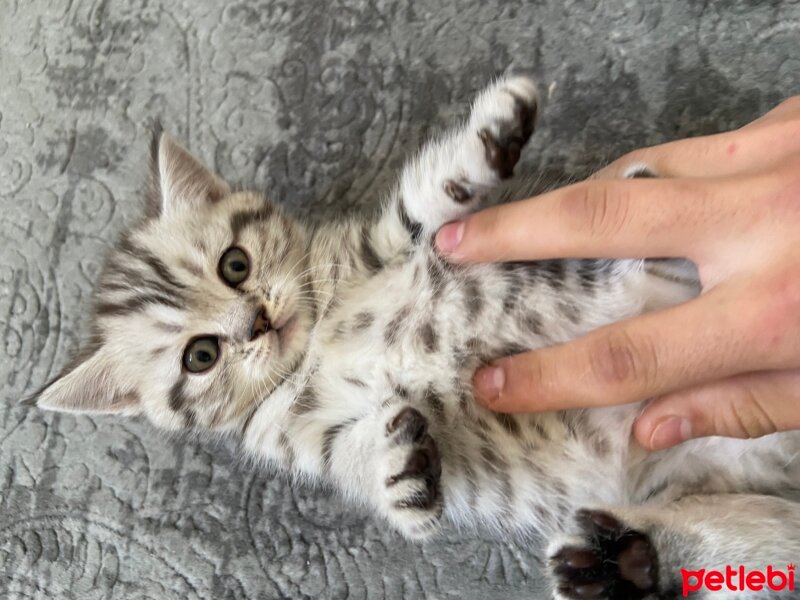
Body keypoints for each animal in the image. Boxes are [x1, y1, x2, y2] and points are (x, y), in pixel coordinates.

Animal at [34, 79, 796, 600]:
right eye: (201, 356)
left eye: (235, 265)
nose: (257, 323)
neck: (316, 339)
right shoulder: (302, 433)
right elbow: (358, 452)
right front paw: (397, 474)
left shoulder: (393, 243)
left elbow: (422, 201)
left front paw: (489, 134)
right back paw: (620, 568)